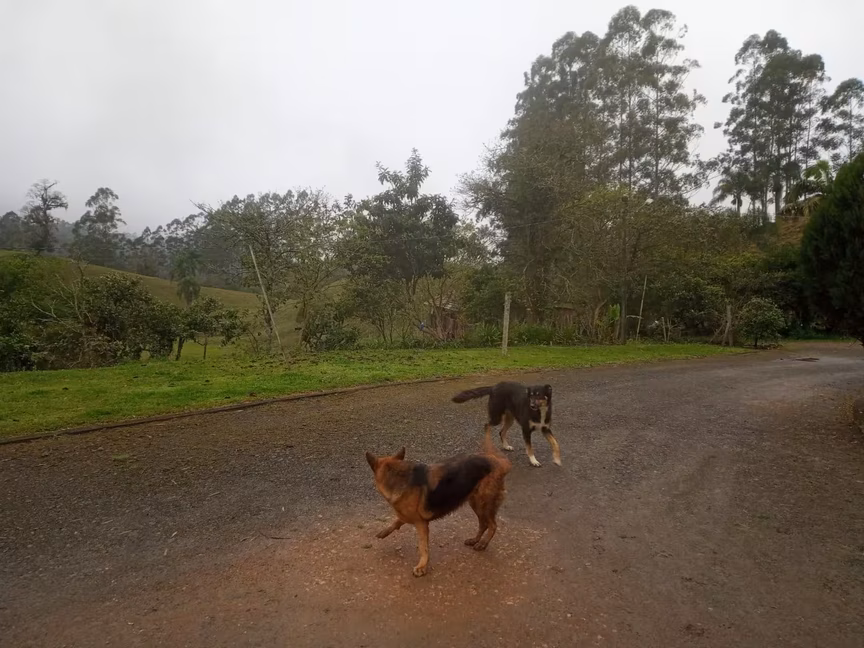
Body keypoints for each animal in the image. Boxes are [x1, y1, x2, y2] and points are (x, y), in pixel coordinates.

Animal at [364, 431, 511, 577]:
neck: (398, 476)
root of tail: (499, 462)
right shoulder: (408, 516)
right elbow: (396, 521)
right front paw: (384, 532)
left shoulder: (421, 524)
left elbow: (423, 547)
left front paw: (422, 566)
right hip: (475, 503)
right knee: (483, 524)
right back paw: (475, 540)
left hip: (482, 503)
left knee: (492, 525)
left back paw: (483, 543)